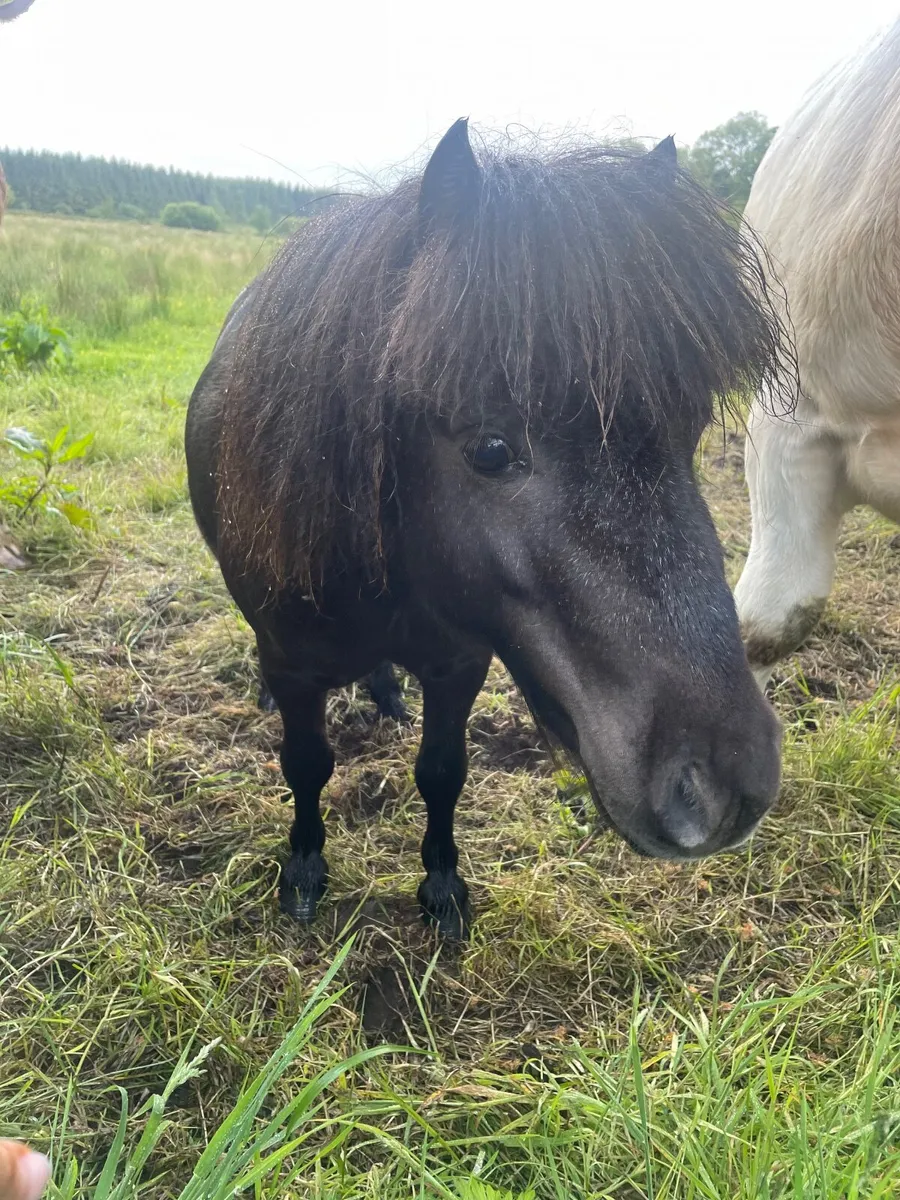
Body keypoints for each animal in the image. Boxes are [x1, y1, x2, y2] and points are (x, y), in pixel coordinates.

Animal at [185, 119, 789, 938]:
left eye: (689, 433)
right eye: (491, 449)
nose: (723, 789)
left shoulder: (458, 663)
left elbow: (442, 773)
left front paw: (442, 885)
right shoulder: (294, 662)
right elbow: (307, 767)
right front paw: (304, 868)